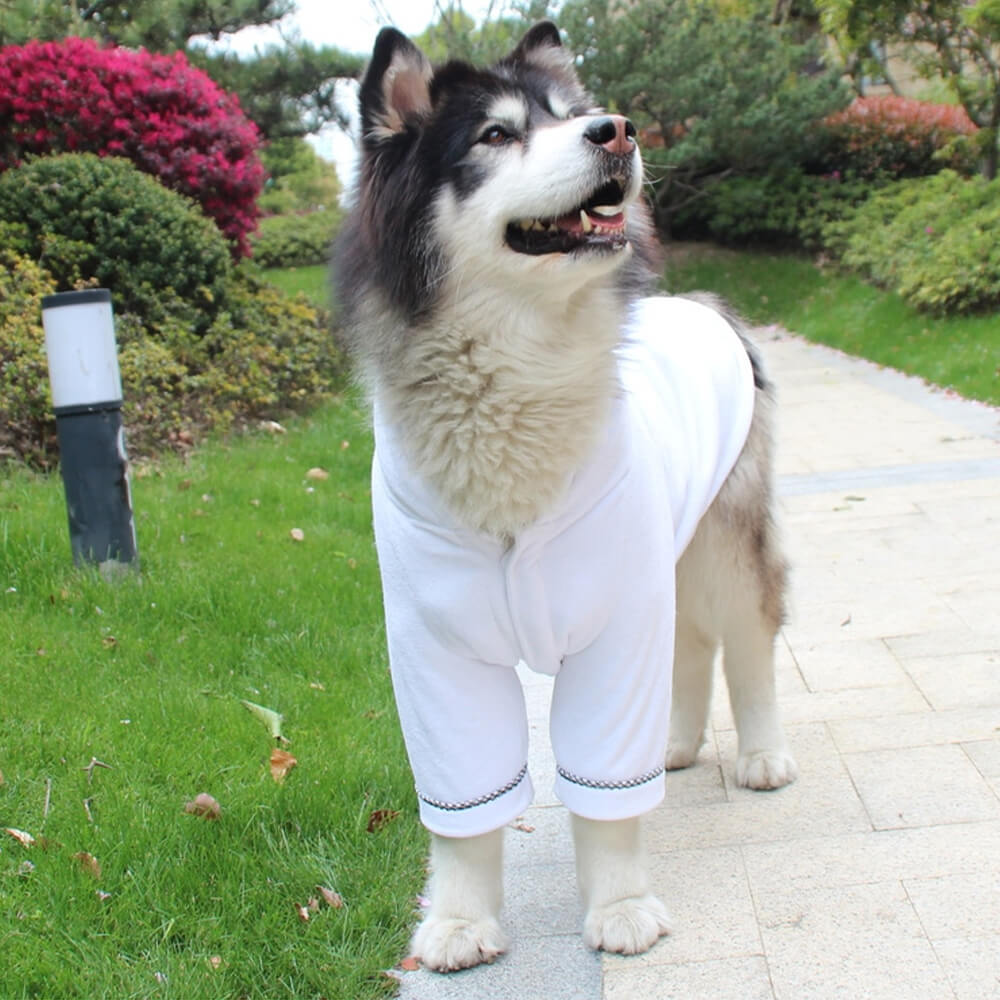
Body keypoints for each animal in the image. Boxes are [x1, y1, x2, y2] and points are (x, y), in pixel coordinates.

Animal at [334, 23, 796, 972]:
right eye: (496, 135)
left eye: (570, 116)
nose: (616, 131)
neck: (514, 376)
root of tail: (707, 306)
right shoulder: (435, 652)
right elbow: (464, 813)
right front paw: (459, 920)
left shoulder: (614, 622)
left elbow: (607, 796)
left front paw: (620, 906)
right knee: (692, 647)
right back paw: (674, 746)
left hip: (727, 540)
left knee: (746, 643)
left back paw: (763, 754)